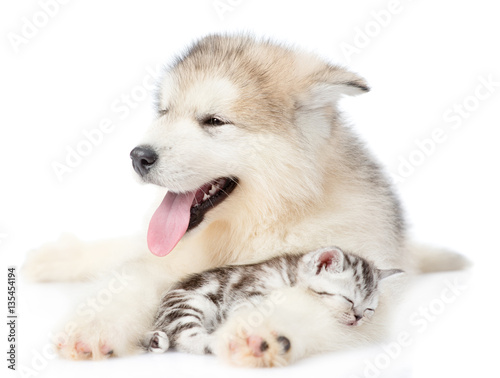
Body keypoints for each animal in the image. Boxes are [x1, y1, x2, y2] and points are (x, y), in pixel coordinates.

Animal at [143, 247, 400, 356]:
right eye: (347, 300)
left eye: (369, 309)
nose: (358, 318)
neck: (291, 278)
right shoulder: (244, 293)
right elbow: (244, 315)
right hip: (191, 302)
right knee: (187, 337)